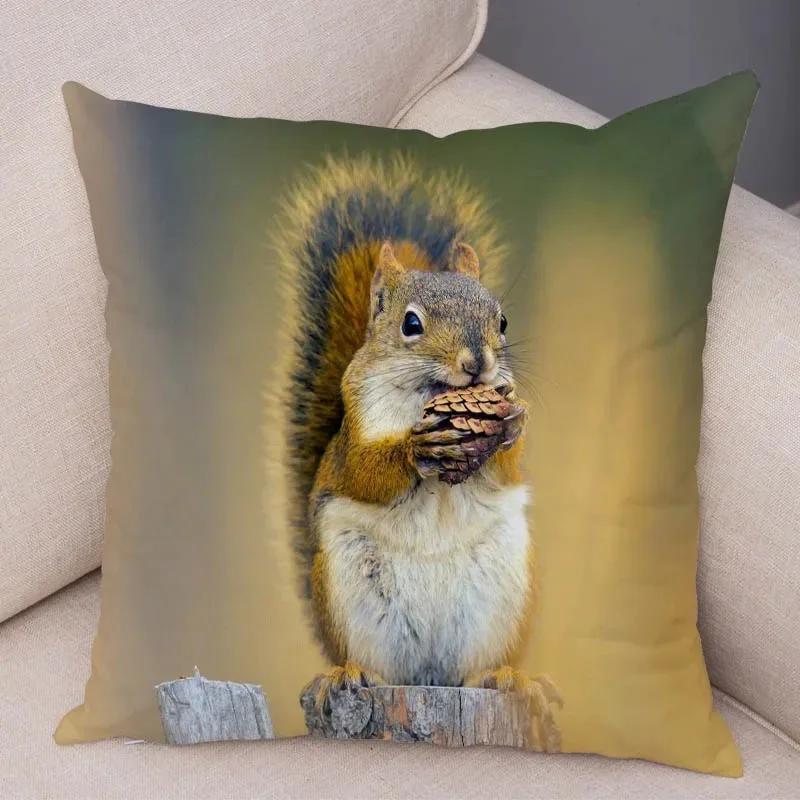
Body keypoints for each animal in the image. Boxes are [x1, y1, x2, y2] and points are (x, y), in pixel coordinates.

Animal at [275, 154, 561, 750]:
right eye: (411, 324)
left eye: (502, 320)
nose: (477, 363)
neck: (429, 393)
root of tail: (428, 677)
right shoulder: (353, 436)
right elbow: (365, 473)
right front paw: (413, 448)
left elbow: (505, 469)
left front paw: (512, 420)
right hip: (348, 593)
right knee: (371, 663)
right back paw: (349, 673)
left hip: (500, 596)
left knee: (475, 670)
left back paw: (507, 678)